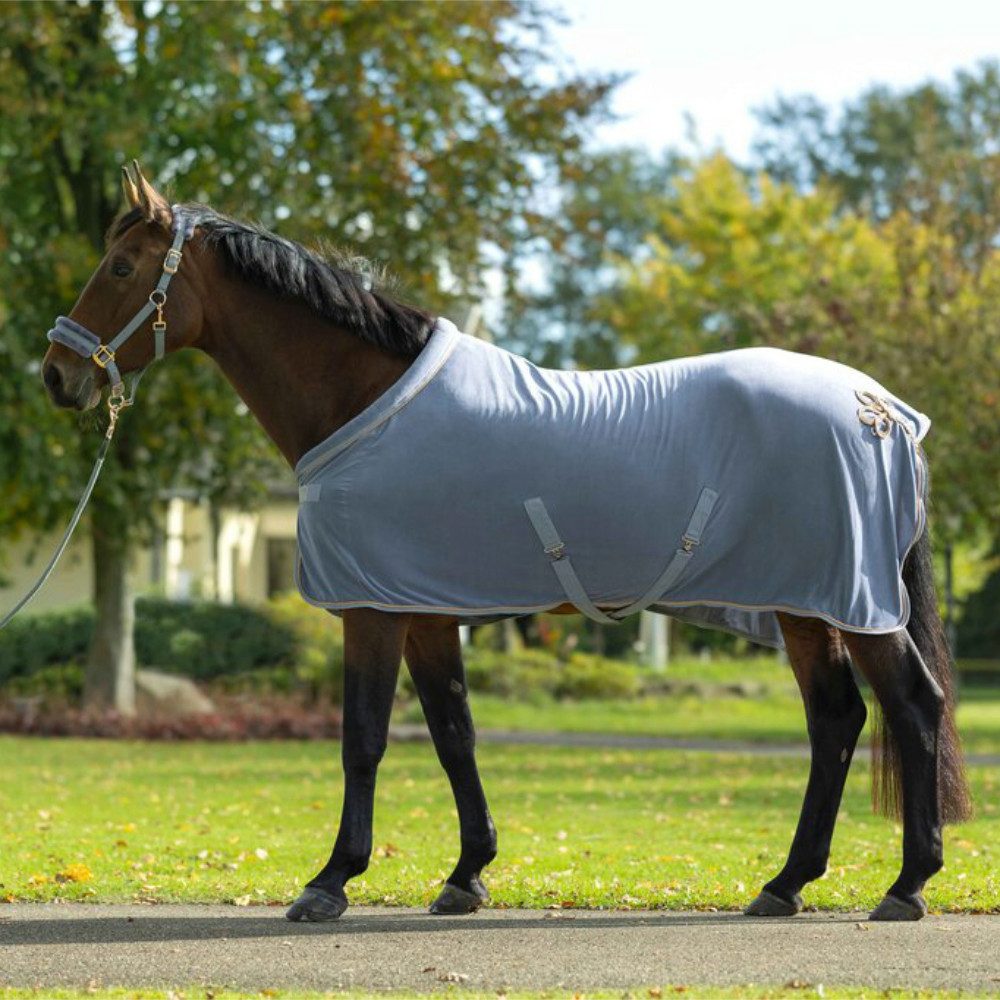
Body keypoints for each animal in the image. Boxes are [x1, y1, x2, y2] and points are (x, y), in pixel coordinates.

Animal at [41, 162, 971, 924]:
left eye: (120, 267)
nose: (58, 375)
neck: (366, 402)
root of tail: (884, 410)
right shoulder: (424, 612)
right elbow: (453, 731)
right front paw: (466, 875)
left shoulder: (372, 609)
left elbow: (364, 738)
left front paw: (330, 881)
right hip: (805, 605)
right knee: (838, 719)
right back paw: (785, 884)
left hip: (852, 601)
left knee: (912, 705)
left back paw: (906, 885)